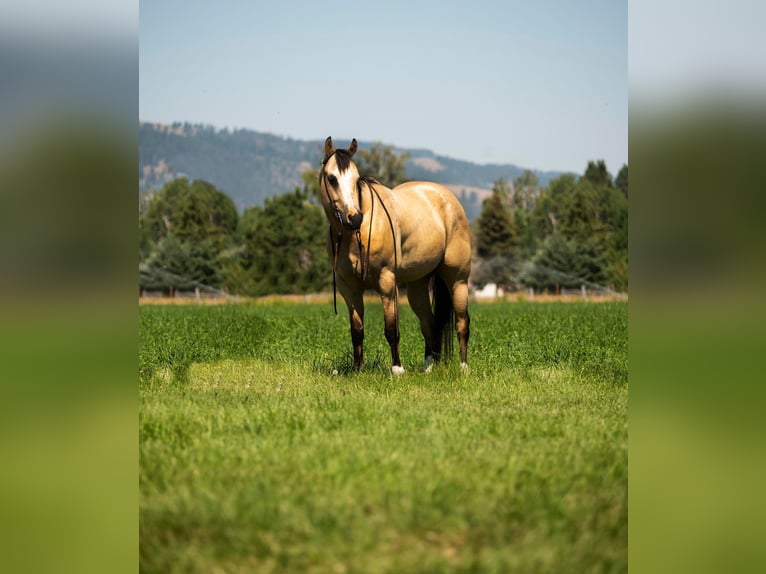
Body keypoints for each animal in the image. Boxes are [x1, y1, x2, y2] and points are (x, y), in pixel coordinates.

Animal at [320, 137, 474, 376]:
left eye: (356, 179)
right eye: (332, 178)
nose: (353, 218)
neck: (358, 233)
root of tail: (447, 198)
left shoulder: (387, 282)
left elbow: (391, 328)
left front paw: (397, 369)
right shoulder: (349, 288)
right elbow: (357, 330)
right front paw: (358, 369)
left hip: (458, 280)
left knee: (462, 322)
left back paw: (463, 368)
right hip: (417, 286)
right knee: (429, 323)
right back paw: (429, 367)